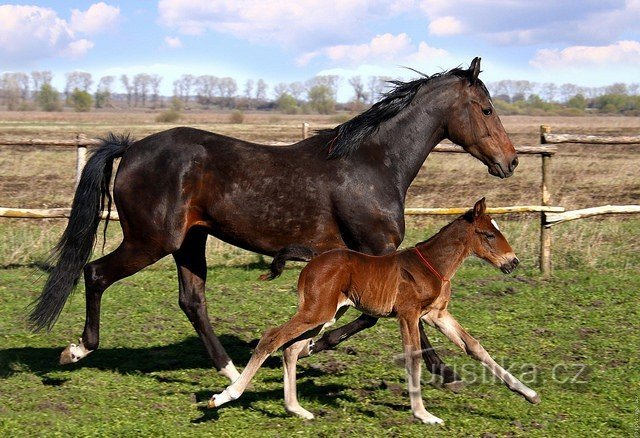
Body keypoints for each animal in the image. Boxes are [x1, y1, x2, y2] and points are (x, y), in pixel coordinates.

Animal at [31, 57, 520, 384]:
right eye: (487, 109)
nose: (510, 161)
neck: (373, 164)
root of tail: (131, 148)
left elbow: (379, 316)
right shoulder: (376, 252)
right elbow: (390, 316)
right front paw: (442, 370)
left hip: (190, 241)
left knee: (192, 300)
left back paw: (231, 371)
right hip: (151, 241)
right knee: (95, 273)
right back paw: (76, 350)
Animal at [210, 198, 540, 424]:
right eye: (488, 235)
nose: (513, 262)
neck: (432, 266)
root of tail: (313, 259)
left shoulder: (436, 315)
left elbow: (474, 347)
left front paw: (529, 393)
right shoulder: (408, 315)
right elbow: (413, 357)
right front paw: (423, 414)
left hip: (327, 315)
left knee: (291, 349)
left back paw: (297, 409)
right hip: (316, 312)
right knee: (271, 338)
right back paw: (226, 395)